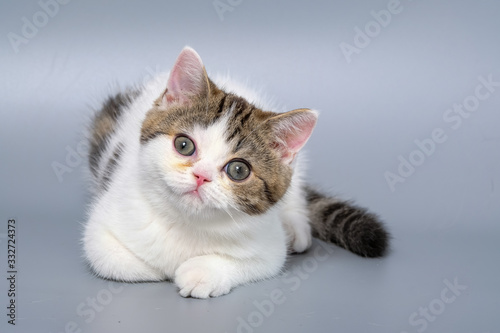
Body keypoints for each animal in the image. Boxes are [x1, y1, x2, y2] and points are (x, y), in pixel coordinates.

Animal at [83, 45, 390, 296]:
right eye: (183, 145)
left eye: (239, 170)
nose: (201, 176)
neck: (187, 222)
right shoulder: (103, 225)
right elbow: (111, 258)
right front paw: (163, 268)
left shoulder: (268, 247)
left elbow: (257, 262)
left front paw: (199, 273)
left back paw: (295, 227)